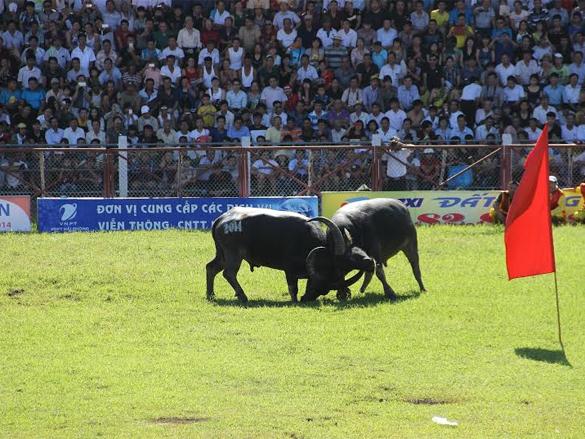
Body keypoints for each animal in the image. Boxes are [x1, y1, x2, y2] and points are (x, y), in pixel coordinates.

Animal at [205, 208, 374, 304]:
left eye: (323, 290)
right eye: (320, 286)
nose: (307, 299)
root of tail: (221, 219)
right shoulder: (289, 270)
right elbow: (293, 288)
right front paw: (294, 301)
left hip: (222, 254)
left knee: (211, 268)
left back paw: (211, 295)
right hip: (233, 254)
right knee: (229, 273)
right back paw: (242, 296)